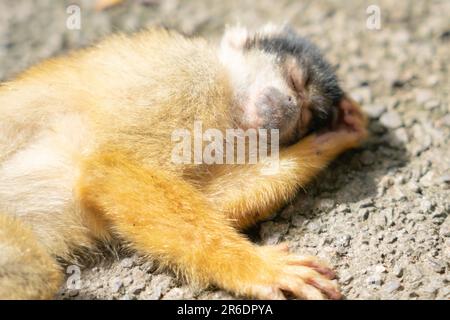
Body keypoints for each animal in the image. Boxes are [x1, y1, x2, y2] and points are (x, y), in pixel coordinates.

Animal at [0, 25, 368, 300]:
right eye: (294, 81)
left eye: (309, 114)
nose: (293, 104)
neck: (229, 101)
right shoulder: (189, 76)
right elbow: (110, 167)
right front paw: (256, 267)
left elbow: (209, 200)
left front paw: (328, 142)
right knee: (39, 273)